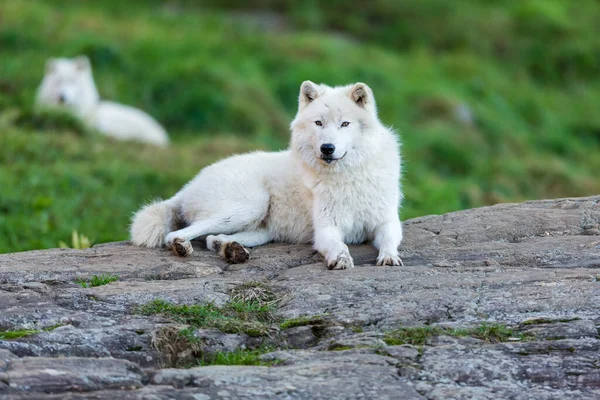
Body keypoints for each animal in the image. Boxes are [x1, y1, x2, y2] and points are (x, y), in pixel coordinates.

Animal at [131, 80, 404, 270]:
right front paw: (341, 259)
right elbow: (340, 245)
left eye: (345, 124)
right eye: (318, 123)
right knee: (175, 234)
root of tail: (189, 185)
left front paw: (390, 257)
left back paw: (231, 250)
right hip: (250, 206)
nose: (327, 148)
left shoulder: (387, 221)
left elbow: (391, 239)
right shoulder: (327, 228)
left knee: (211, 239)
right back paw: (184, 247)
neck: (349, 176)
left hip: (260, 229)